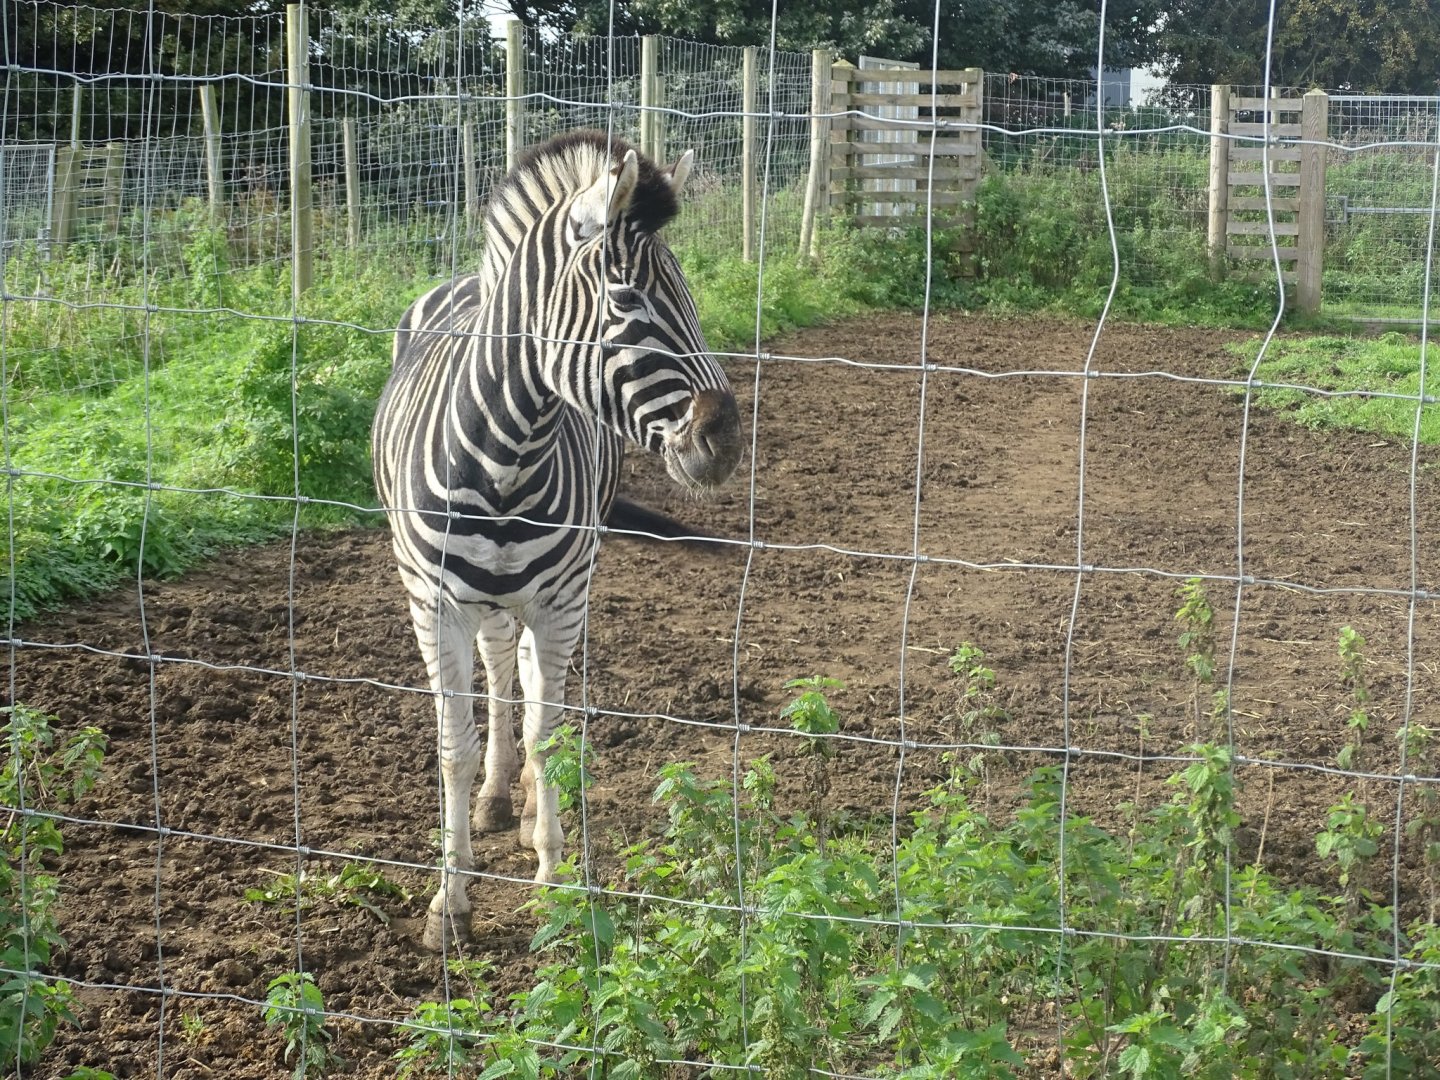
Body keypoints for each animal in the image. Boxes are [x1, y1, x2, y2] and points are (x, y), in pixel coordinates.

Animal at [372, 130, 743, 949]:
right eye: (627, 299)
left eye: (692, 295)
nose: (725, 443)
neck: (505, 453)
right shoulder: (432, 604)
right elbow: (453, 746)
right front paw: (450, 901)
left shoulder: (563, 598)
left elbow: (550, 731)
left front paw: (555, 874)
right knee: (499, 664)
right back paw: (495, 797)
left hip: (558, 588)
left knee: (530, 677)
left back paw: (525, 804)